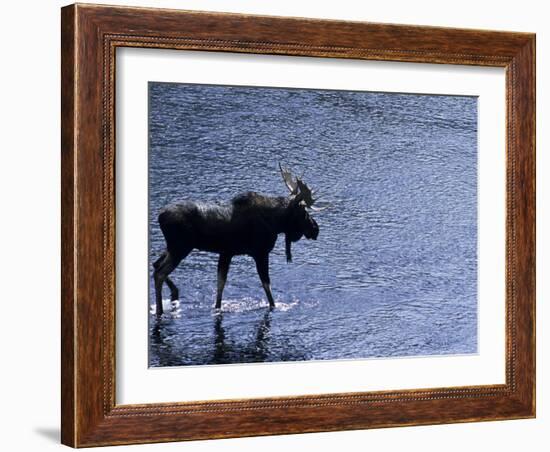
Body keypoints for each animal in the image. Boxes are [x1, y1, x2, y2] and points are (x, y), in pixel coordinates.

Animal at [153, 164, 326, 316]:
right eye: (303, 212)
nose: (315, 229)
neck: (276, 222)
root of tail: (160, 216)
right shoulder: (260, 253)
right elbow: (266, 285)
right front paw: (274, 305)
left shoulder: (226, 253)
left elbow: (220, 284)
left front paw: (218, 307)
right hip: (180, 248)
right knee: (159, 273)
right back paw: (160, 310)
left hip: (173, 247)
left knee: (155, 265)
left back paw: (173, 294)